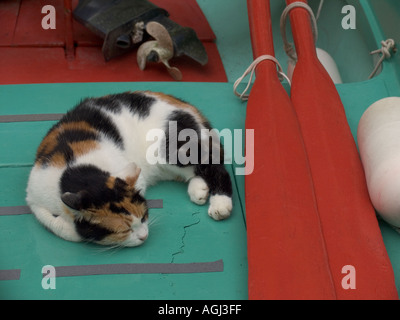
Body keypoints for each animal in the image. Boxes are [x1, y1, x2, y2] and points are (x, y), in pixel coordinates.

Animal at [26, 91, 233, 246]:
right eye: (123, 230)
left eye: (143, 217)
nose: (143, 235)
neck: (74, 170)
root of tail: (190, 108)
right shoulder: (34, 195)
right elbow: (49, 220)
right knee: (195, 171)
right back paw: (199, 190)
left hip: (173, 149)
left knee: (215, 166)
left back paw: (220, 204)